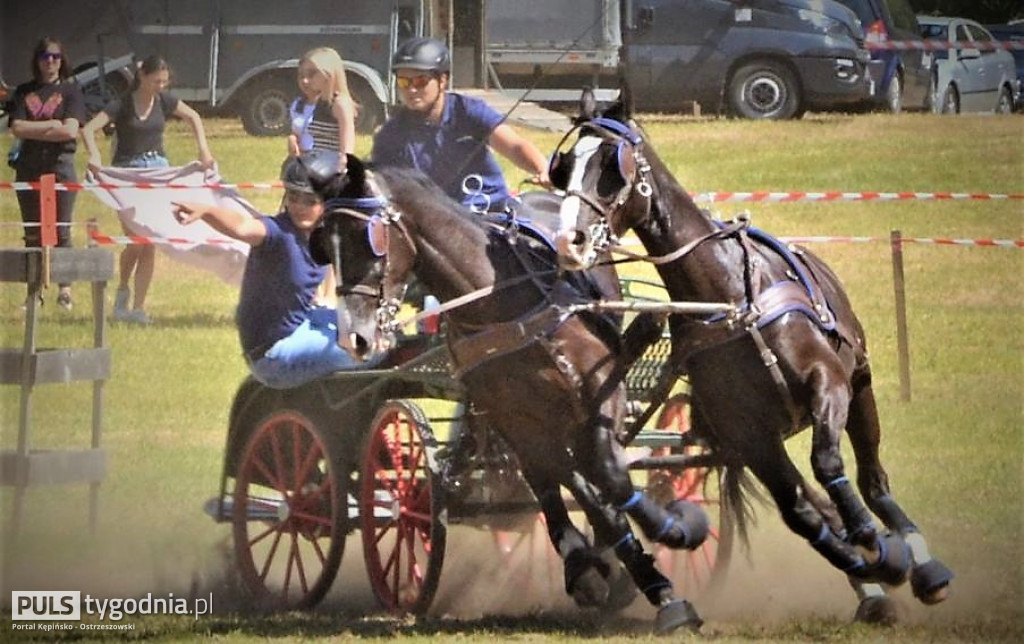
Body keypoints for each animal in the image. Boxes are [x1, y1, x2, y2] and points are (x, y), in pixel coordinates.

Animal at [311, 154, 712, 634]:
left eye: (366, 238)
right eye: (322, 243)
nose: (354, 338)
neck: (497, 304)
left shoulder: (600, 393)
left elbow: (607, 471)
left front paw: (672, 535)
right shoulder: (513, 417)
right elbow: (558, 478)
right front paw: (594, 567)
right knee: (561, 474)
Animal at [548, 88, 954, 618]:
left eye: (612, 165)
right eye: (564, 166)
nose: (569, 241)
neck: (730, 299)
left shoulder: (829, 382)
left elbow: (829, 463)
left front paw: (871, 539)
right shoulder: (749, 435)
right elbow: (802, 513)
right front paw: (872, 564)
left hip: (860, 386)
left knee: (873, 479)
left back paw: (923, 565)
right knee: (813, 502)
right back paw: (872, 585)